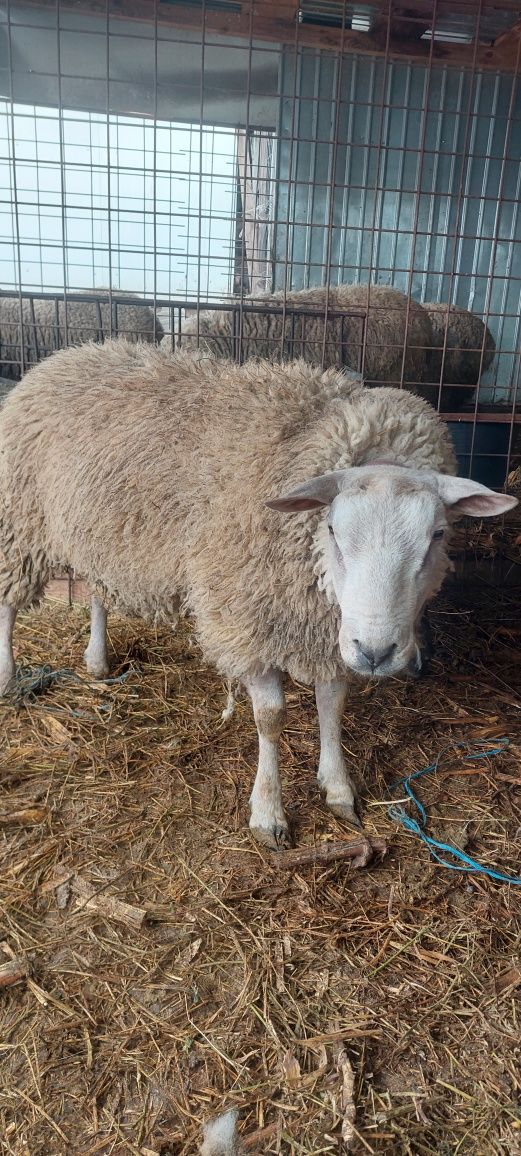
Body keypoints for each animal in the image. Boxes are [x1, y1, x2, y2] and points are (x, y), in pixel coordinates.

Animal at [0, 337, 515, 846]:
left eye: (439, 535)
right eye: (332, 529)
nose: (376, 652)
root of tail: (69, 354)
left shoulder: (326, 631)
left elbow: (333, 705)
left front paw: (338, 787)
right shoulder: (247, 622)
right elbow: (270, 718)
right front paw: (268, 812)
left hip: (95, 532)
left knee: (96, 589)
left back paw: (97, 661)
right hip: (20, 520)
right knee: (8, 604)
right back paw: (8, 678)